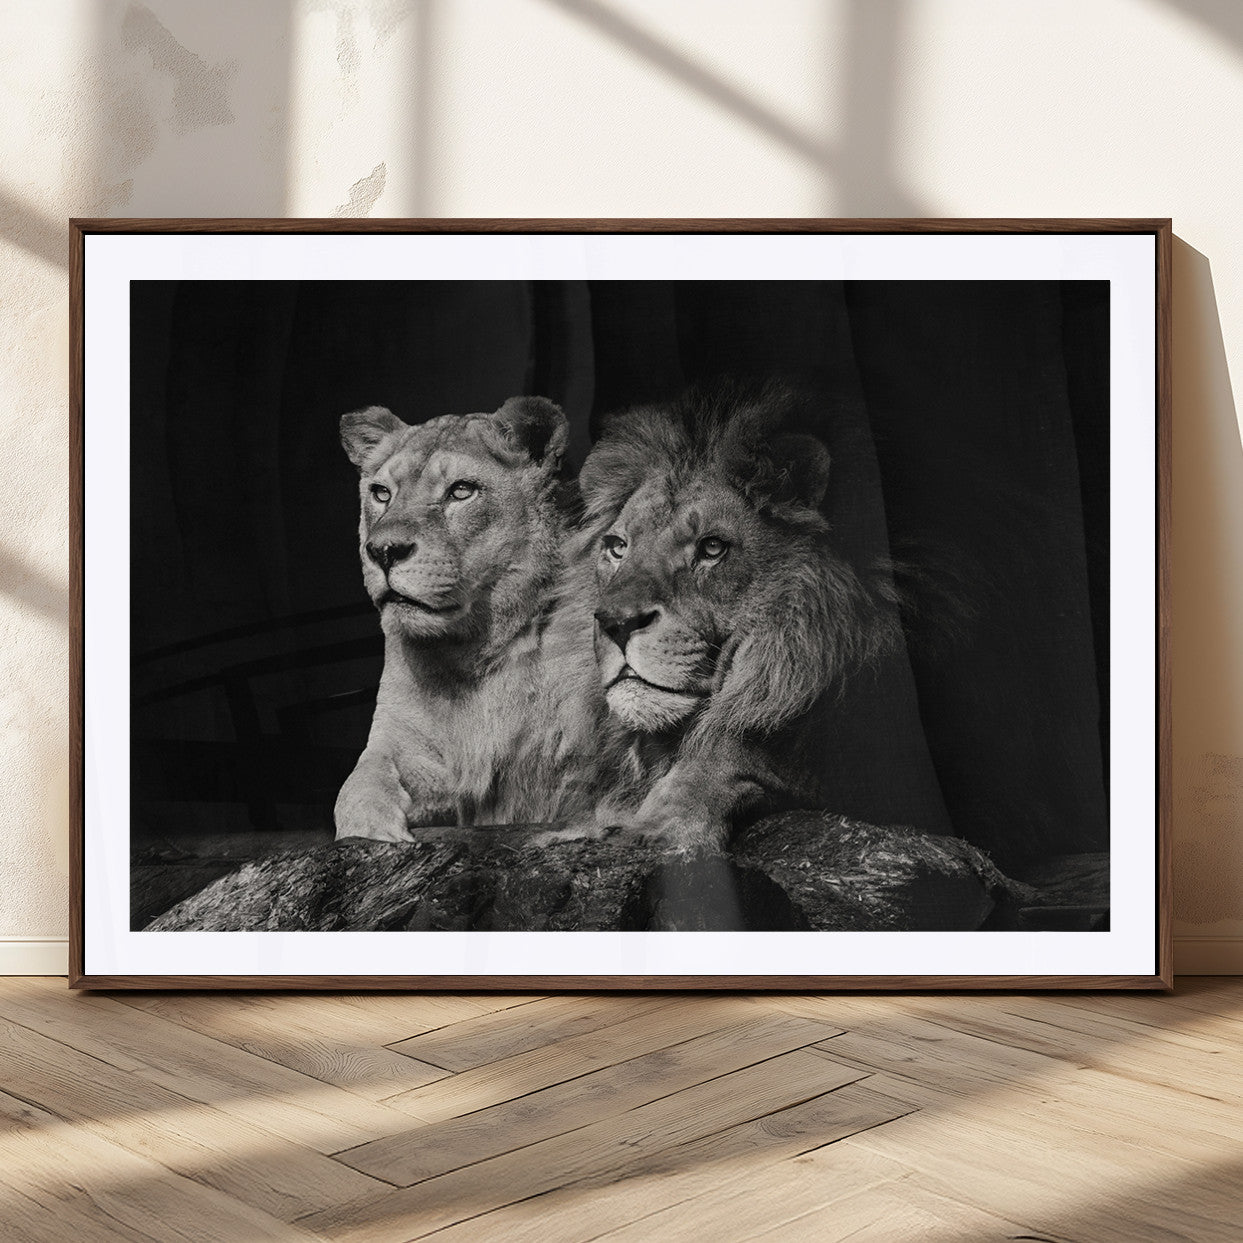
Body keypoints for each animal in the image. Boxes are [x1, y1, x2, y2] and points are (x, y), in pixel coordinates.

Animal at [335, 396, 616, 842]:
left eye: (461, 491)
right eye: (381, 493)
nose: (382, 550)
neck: (472, 651)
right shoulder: (401, 743)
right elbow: (356, 786)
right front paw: (374, 832)